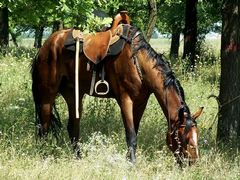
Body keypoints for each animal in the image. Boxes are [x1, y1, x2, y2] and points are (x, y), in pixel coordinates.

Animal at [31, 17, 202, 165]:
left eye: (196, 136)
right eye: (182, 137)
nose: (192, 163)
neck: (137, 61)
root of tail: (44, 47)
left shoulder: (140, 103)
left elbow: (135, 131)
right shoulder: (125, 99)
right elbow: (131, 135)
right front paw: (132, 164)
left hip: (73, 95)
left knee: (73, 127)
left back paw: (78, 158)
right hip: (47, 96)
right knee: (43, 127)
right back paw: (44, 156)